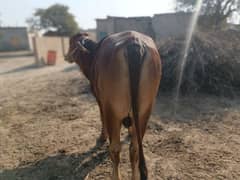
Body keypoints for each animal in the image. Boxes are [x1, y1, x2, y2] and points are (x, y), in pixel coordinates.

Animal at [64, 31, 161, 180]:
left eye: (70, 43)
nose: (66, 55)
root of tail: (134, 41)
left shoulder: (100, 100)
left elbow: (101, 117)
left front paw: (102, 137)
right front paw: (129, 132)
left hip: (113, 111)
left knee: (115, 148)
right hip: (145, 110)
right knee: (135, 148)